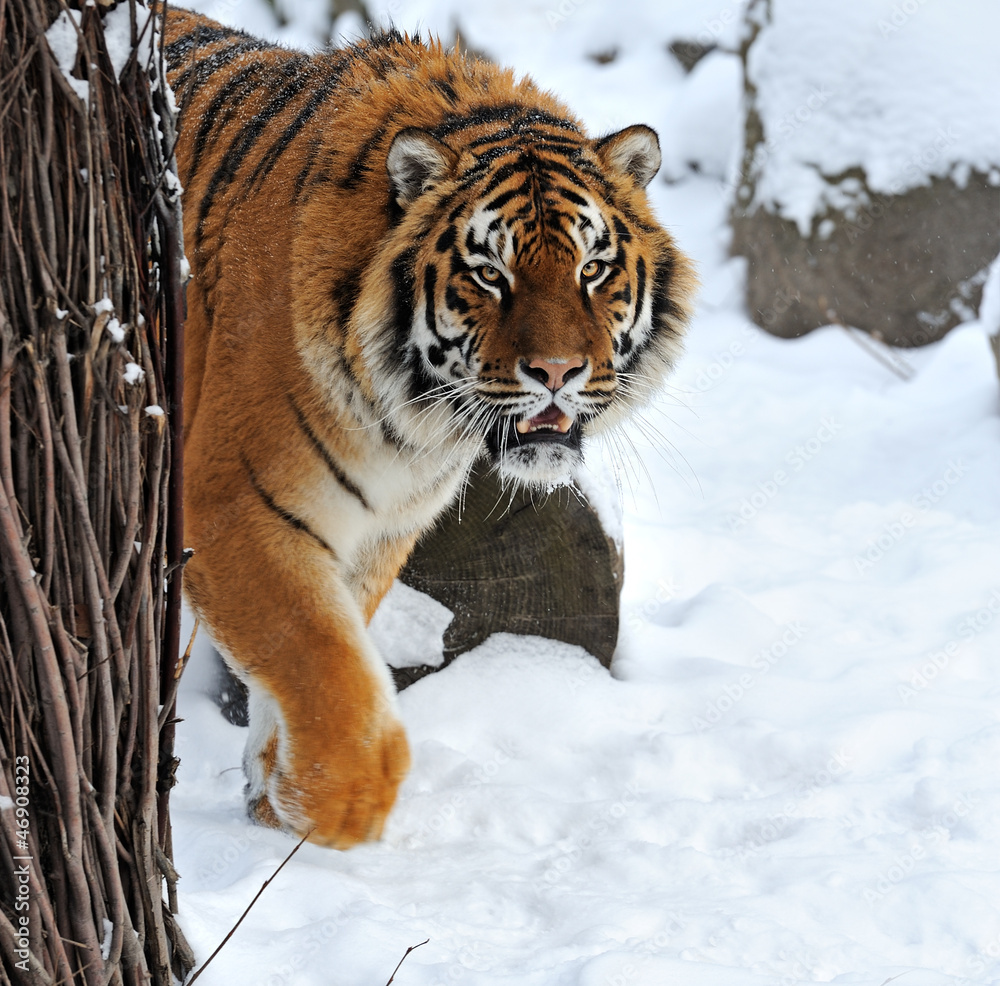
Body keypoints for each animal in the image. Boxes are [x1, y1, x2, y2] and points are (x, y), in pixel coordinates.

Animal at [161, 5, 696, 848]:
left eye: (591, 270)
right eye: (490, 275)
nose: (557, 371)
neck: (409, 424)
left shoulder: (379, 525)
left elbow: (332, 643)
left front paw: (276, 794)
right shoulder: (231, 504)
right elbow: (319, 657)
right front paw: (336, 805)